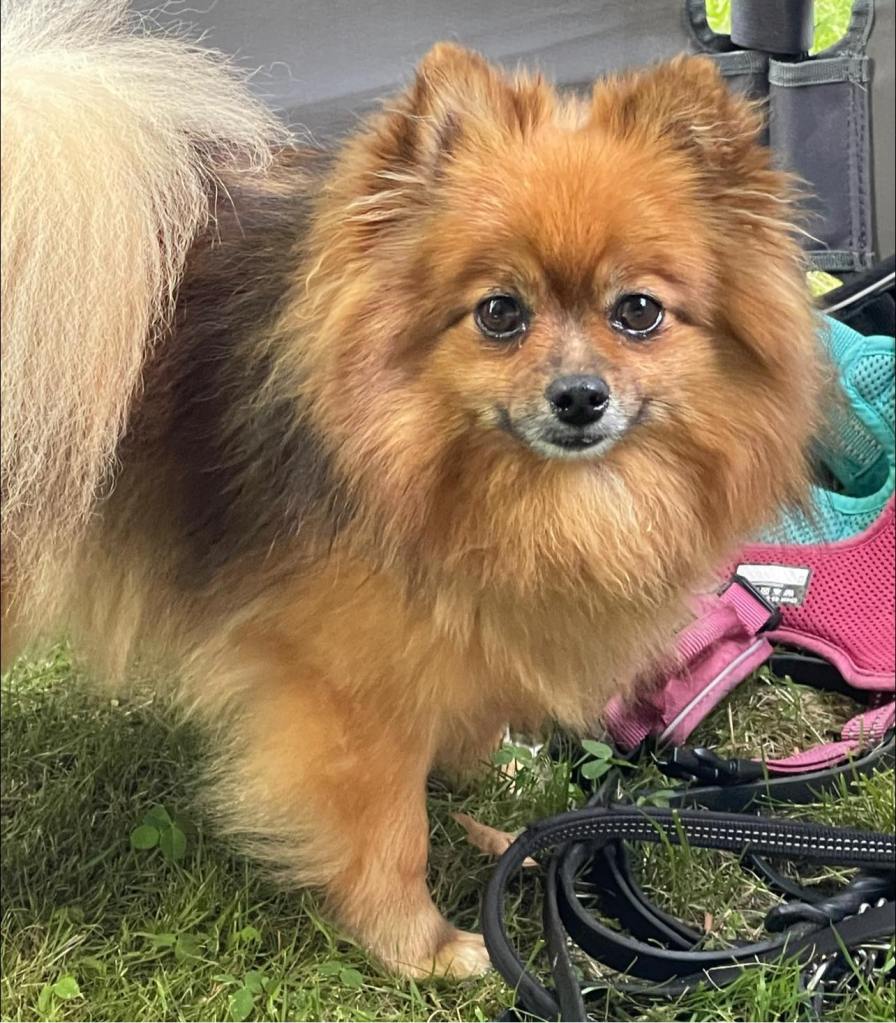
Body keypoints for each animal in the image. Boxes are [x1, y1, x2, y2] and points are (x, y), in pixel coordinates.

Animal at [1, 0, 824, 977]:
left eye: (638, 311)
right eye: (500, 312)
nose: (580, 396)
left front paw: (485, 761)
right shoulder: (347, 688)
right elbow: (390, 832)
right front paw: (418, 944)